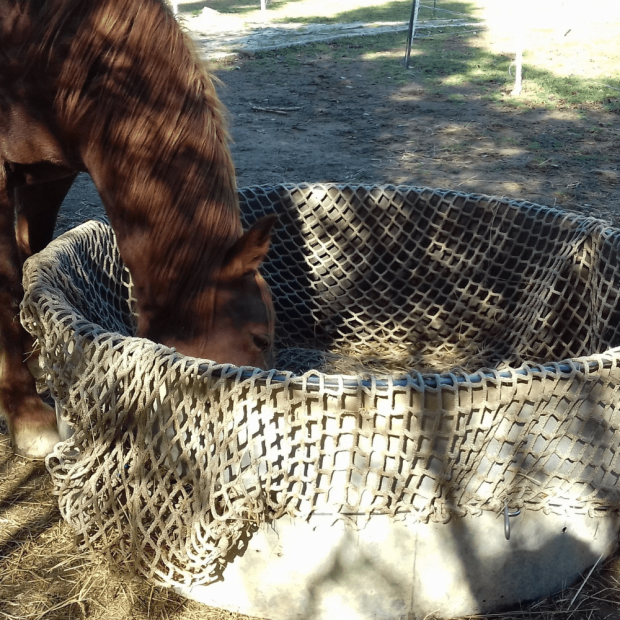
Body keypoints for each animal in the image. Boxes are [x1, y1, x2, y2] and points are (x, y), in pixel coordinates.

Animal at [0, 0, 276, 456]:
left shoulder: (49, 174)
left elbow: (28, 256)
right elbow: (5, 286)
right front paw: (27, 418)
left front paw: (36, 357)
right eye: (260, 339)